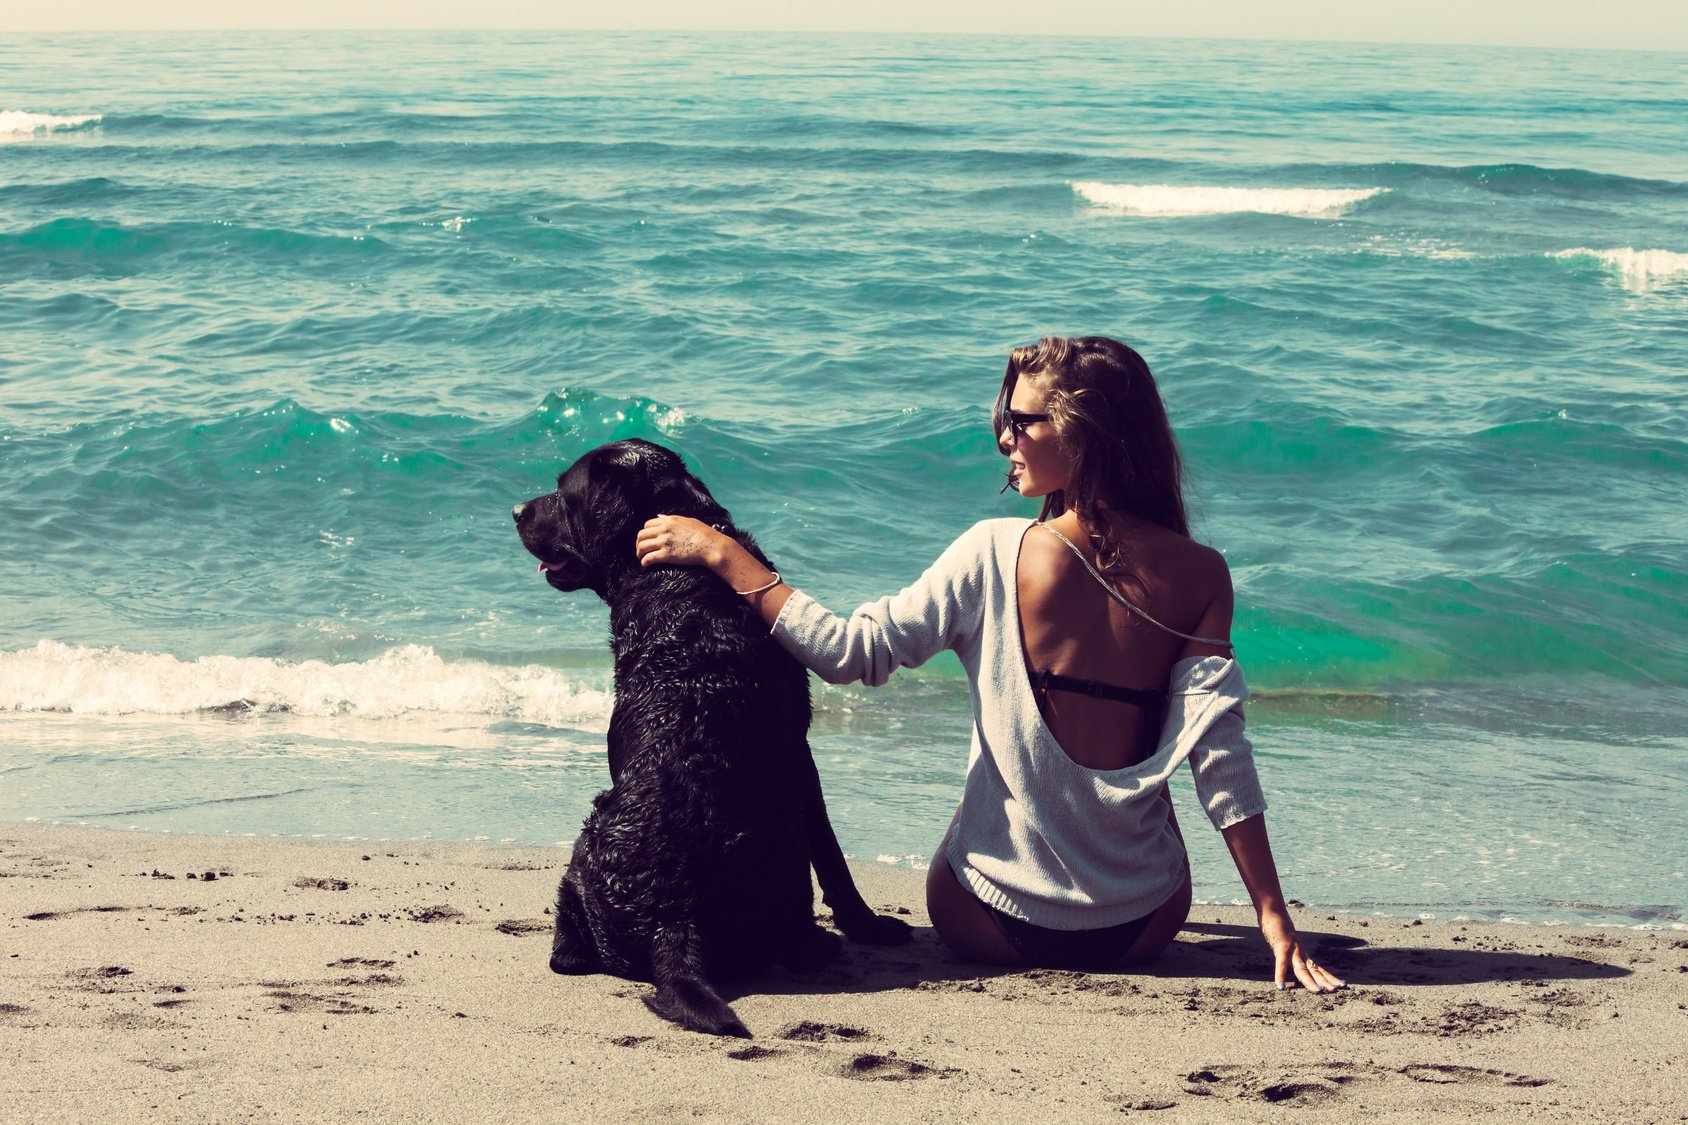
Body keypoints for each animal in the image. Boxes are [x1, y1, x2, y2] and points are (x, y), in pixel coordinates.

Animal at [509, 435, 911, 1033]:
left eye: (563, 492)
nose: (515, 510)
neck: (675, 575)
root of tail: (671, 918)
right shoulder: (800, 753)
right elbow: (833, 855)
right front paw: (869, 926)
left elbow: (834, 856)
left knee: (566, 953)